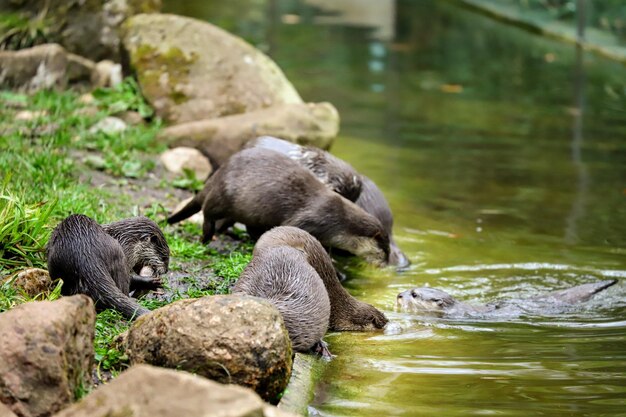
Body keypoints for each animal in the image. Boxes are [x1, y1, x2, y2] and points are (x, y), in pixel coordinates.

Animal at [168, 147, 388, 264]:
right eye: (384, 251)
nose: (385, 263)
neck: (341, 222)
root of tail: (219, 173)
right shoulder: (313, 218)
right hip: (223, 197)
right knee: (207, 211)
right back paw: (206, 236)